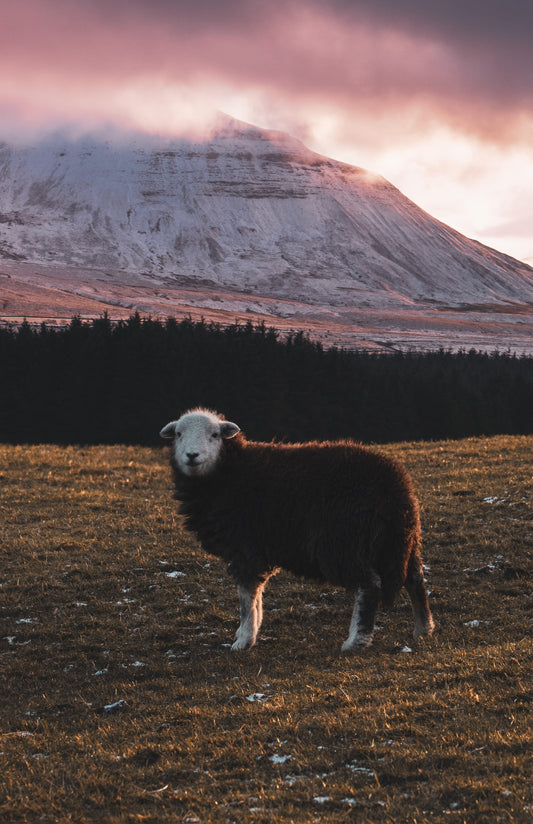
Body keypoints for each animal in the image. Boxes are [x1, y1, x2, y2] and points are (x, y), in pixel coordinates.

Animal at [160, 408, 434, 652]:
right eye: (179, 434)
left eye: (215, 435)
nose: (192, 455)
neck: (230, 472)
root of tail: (395, 488)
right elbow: (256, 595)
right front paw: (248, 632)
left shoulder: (246, 547)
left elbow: (246, 598)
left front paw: (244, 640)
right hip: (401, 540)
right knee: (416, 578)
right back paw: (423, 628)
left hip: (344, 541)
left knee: (370, 585)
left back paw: (356, 641)